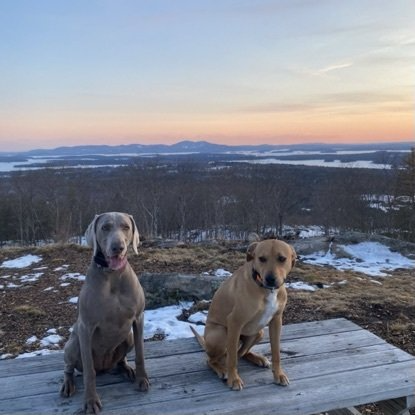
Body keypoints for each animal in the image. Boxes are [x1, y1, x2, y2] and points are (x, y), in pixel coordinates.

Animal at [60, 212, 149, 414]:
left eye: (126, 227)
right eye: (105, 227)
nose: (118, 247)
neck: (113, 275)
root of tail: (104, 367)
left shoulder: (138, 318)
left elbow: (140, 354)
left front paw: (142, 380)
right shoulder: (86, 327)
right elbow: (89, 371)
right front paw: (91, 401)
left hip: (128, 337)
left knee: (121, 359)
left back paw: (126, 369)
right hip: (73, 344)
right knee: (70, 368)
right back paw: (68, 384)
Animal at [191, 239, 296, 390]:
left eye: (282, 259)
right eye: (261, 258)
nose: (270, 279)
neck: (266, 289)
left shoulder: (276, 321)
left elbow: (276, 352)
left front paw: (279, 374)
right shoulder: (235, 322)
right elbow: (232, 360)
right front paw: (234, 379)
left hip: (259, 333)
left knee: (241, 353)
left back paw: (258, 358)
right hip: (221, 334)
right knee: (214, 359)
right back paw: (222, 369)